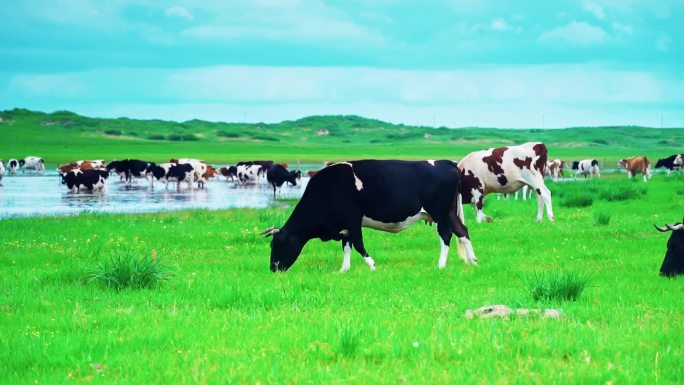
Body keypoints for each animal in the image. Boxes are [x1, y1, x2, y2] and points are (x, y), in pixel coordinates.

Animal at [260, 160, 478, 272]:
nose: (273, 268)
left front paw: (371, 264)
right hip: (450, 212)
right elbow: (346, 246)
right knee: (463, 231)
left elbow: (358, 244)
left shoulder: (353, 220)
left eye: (277, 244)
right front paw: (344, 269)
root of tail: (447, 163)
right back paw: (473, 260)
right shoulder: (344, 225)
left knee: (446, 235)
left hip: (440, 213)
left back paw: (440, 265)